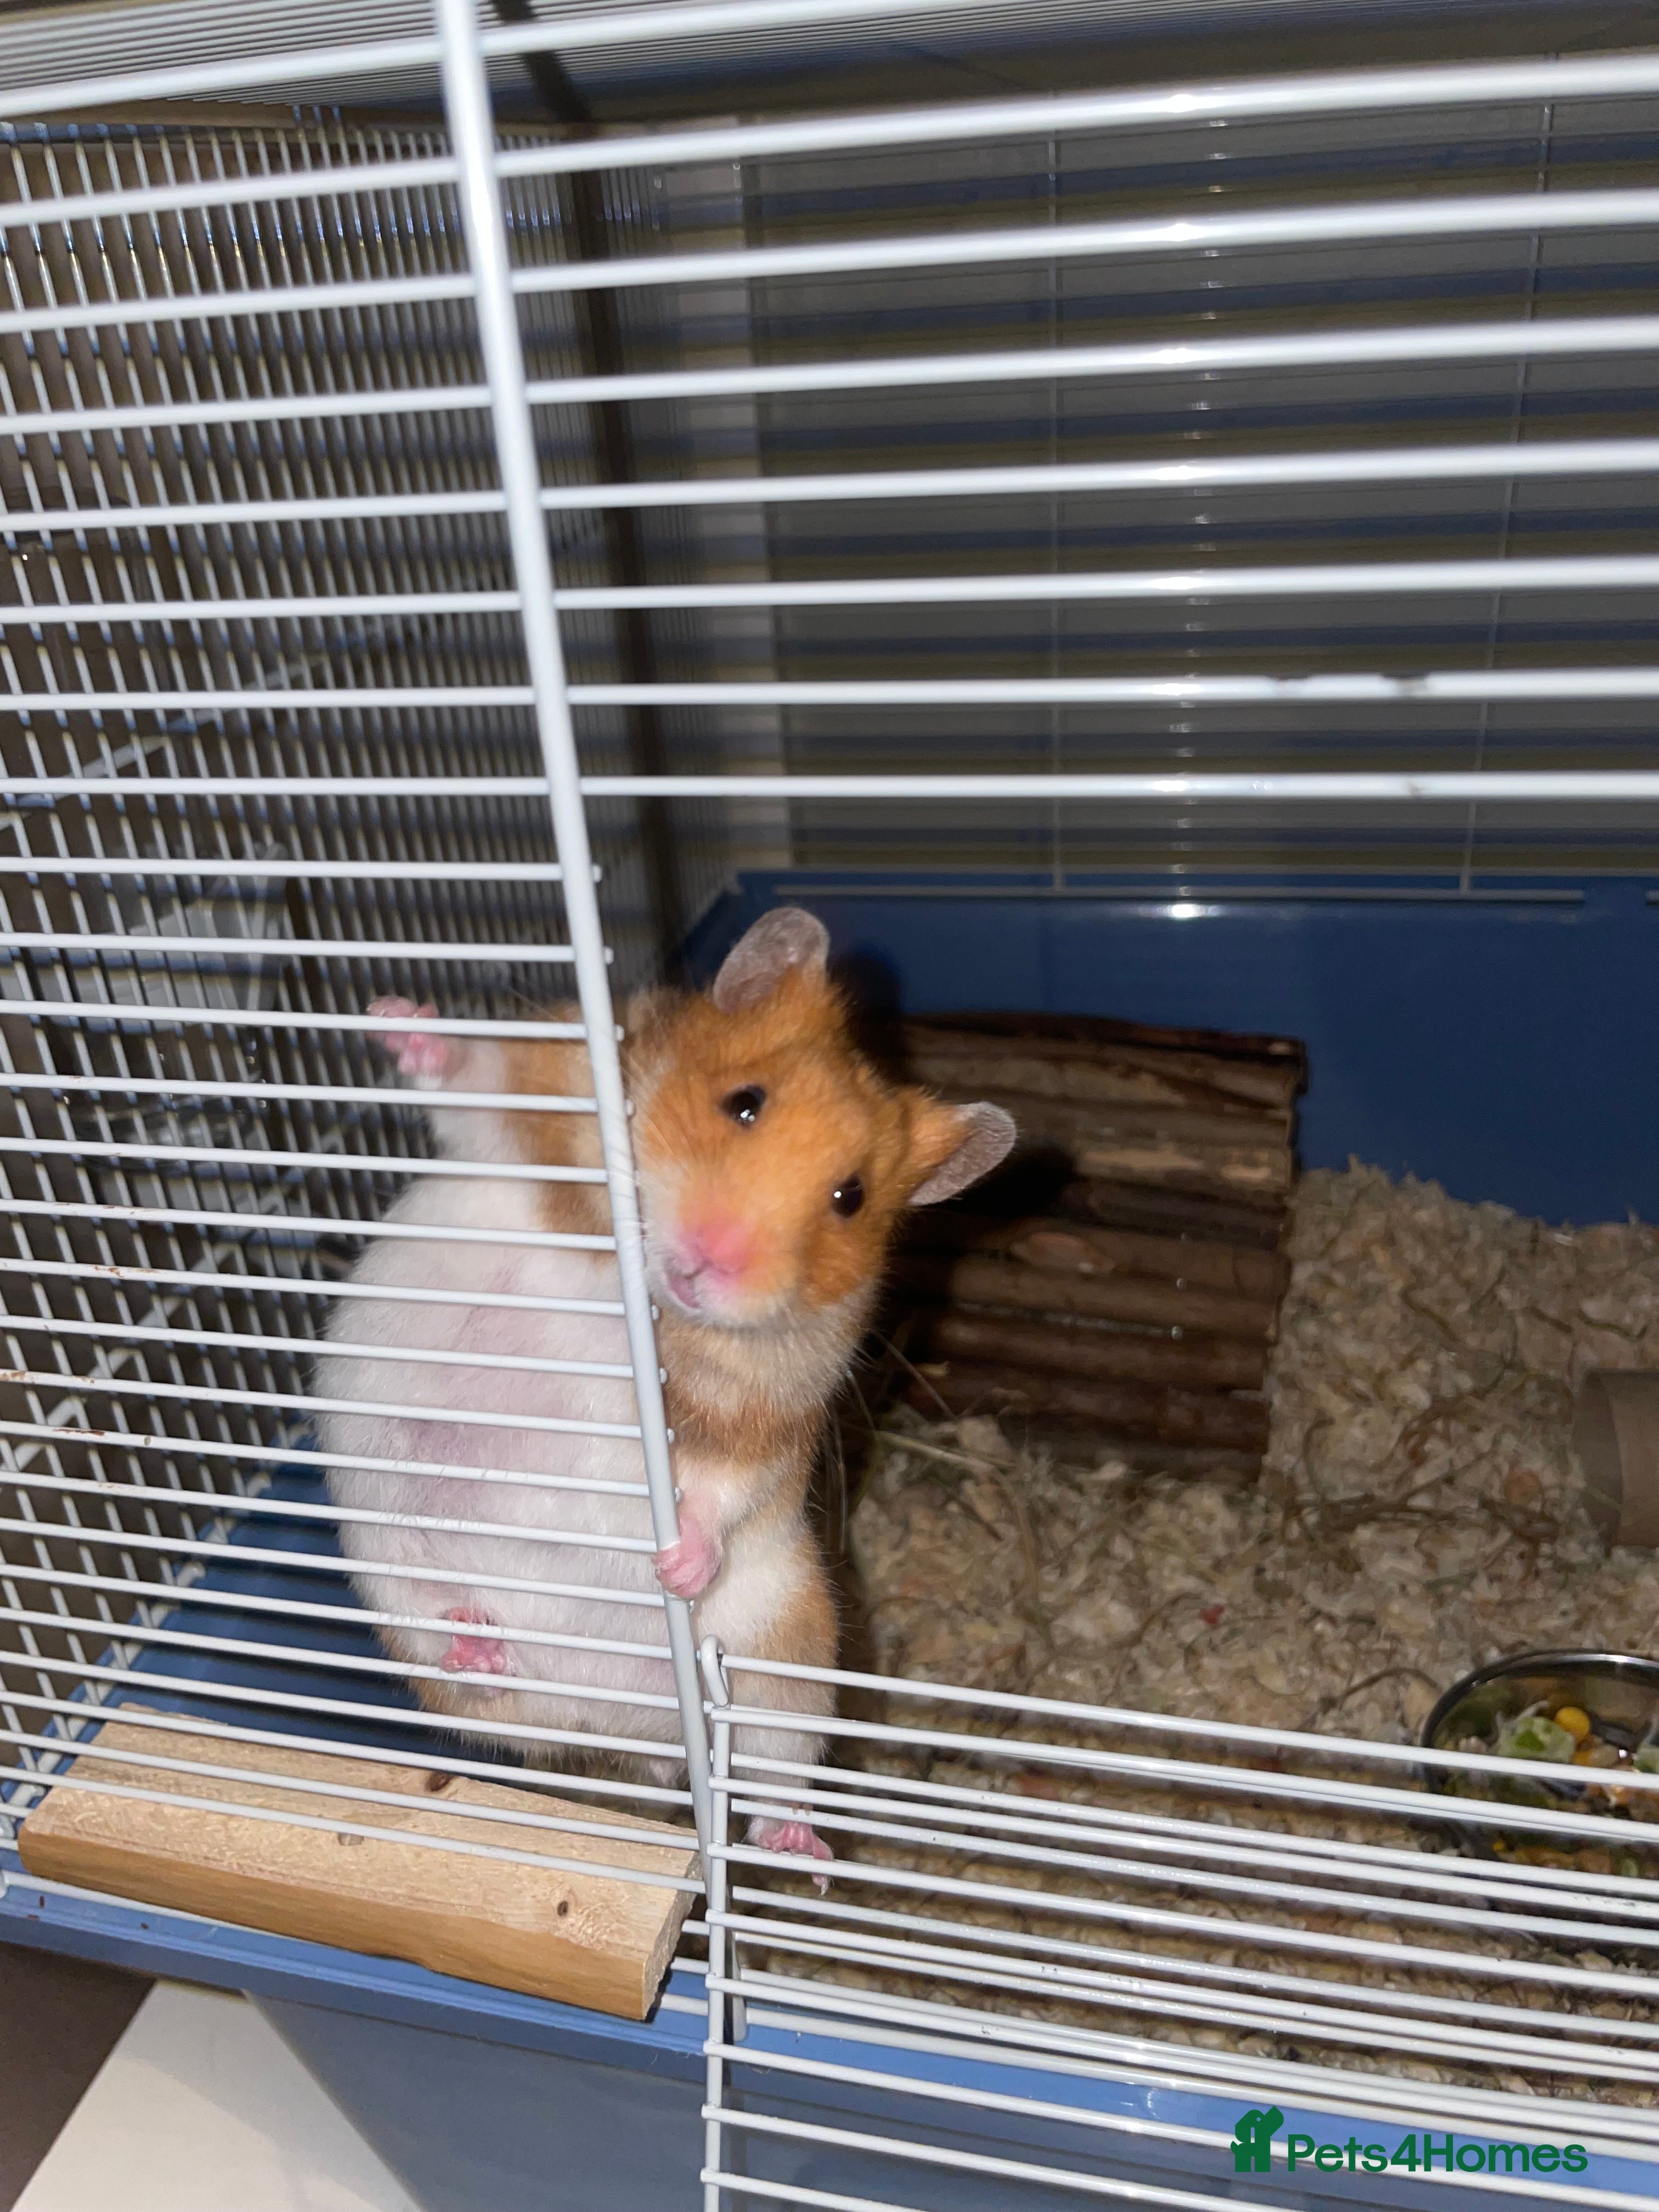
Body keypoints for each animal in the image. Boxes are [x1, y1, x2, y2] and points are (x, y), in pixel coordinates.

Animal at [314, 909, 1014, 1868]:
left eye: (850, 1197)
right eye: (743, 1102)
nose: (709, 1263)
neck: (648, 1296)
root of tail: (635, 1731)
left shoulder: (770, 1412)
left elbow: (724, 1489)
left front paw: (677, 1563)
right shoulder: (549, 1107)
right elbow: (480, 1083)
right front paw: (398, 1016)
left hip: (788, 1648)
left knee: (773, 1762)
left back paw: (801, 1849)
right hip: (393, 1573)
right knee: (480, 1677)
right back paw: (479, 1648)